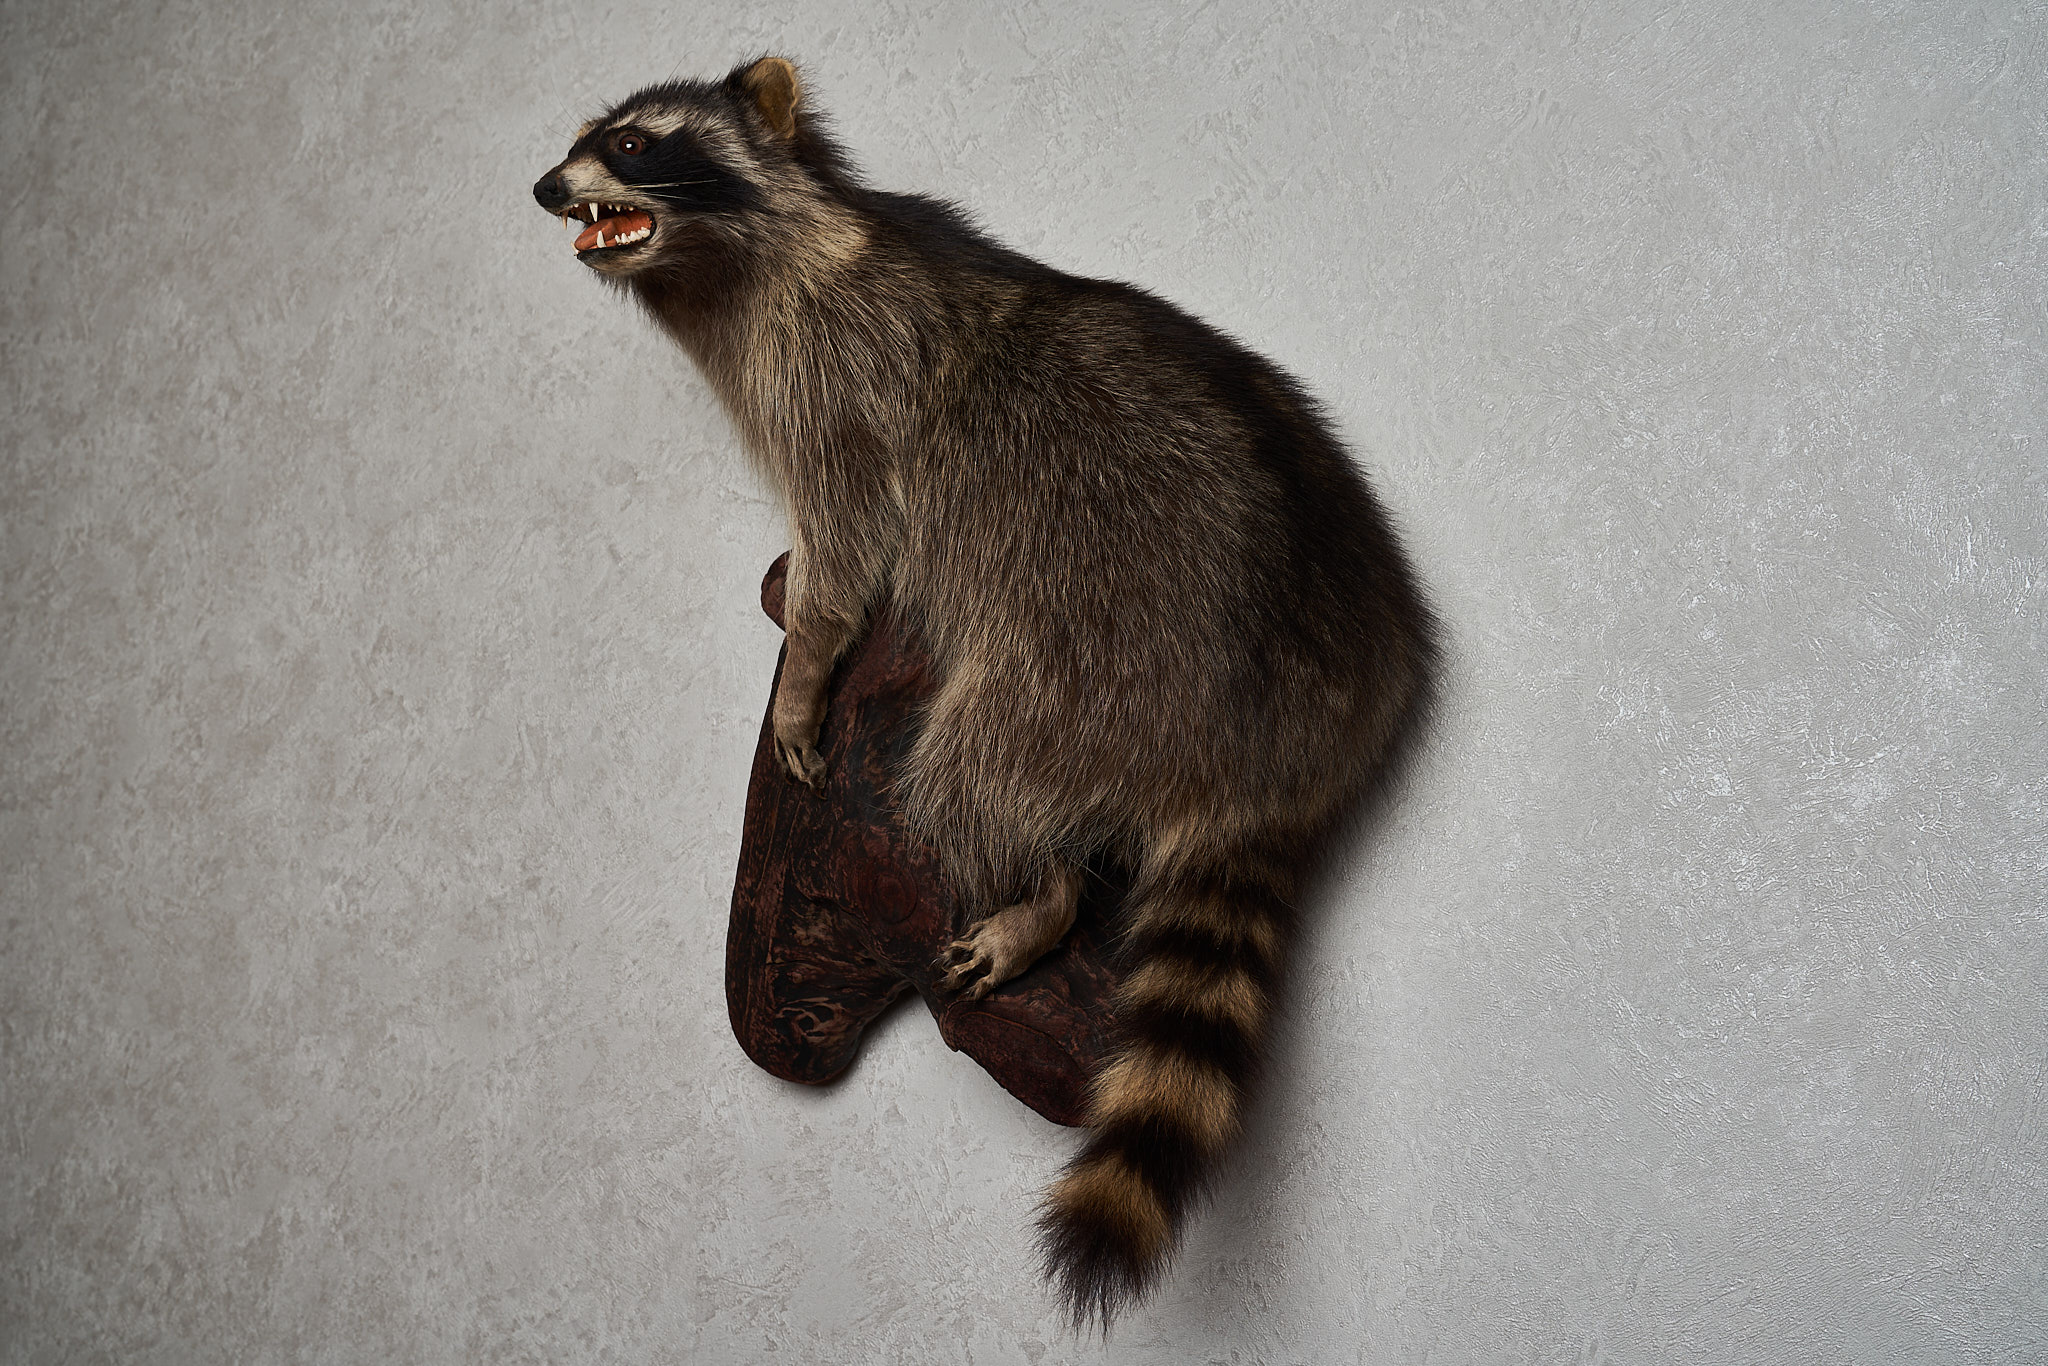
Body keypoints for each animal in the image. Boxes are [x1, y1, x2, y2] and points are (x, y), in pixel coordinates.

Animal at [535, 57, 1438, 1327]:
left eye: (632, 142)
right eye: (584, 137)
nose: (542, 185)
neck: (741, 259)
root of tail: (1287, 741)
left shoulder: (836, 389)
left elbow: (846, 549)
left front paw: (805, 666)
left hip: (1088, 661)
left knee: (969, 766)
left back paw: (1038, 894)